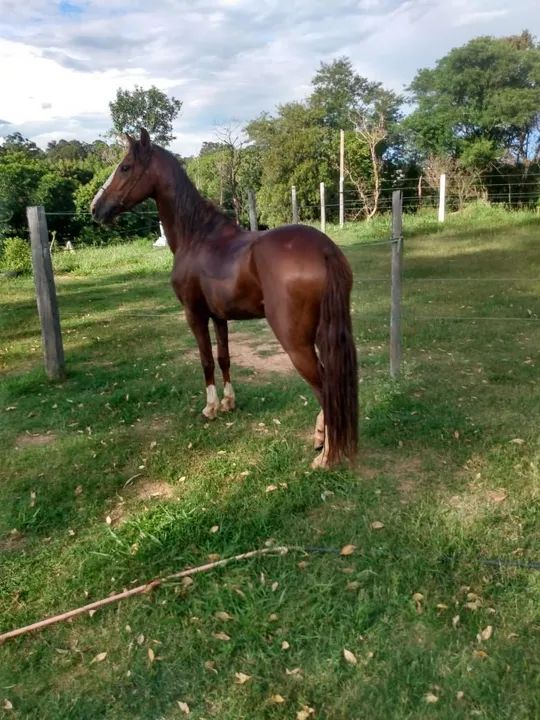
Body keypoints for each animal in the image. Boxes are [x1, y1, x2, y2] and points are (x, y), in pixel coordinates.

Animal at [91, 128, 358, 468]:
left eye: (125, 167)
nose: (95, 208)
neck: (197, 236)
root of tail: (324, 249)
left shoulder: (194, 314)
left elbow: (205, 360)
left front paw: (210, 408)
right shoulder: (219, 316)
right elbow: (224, 357)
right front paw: (229, 402)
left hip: (295, 342)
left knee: (324, 388)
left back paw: (325, 457)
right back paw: (321, 439)